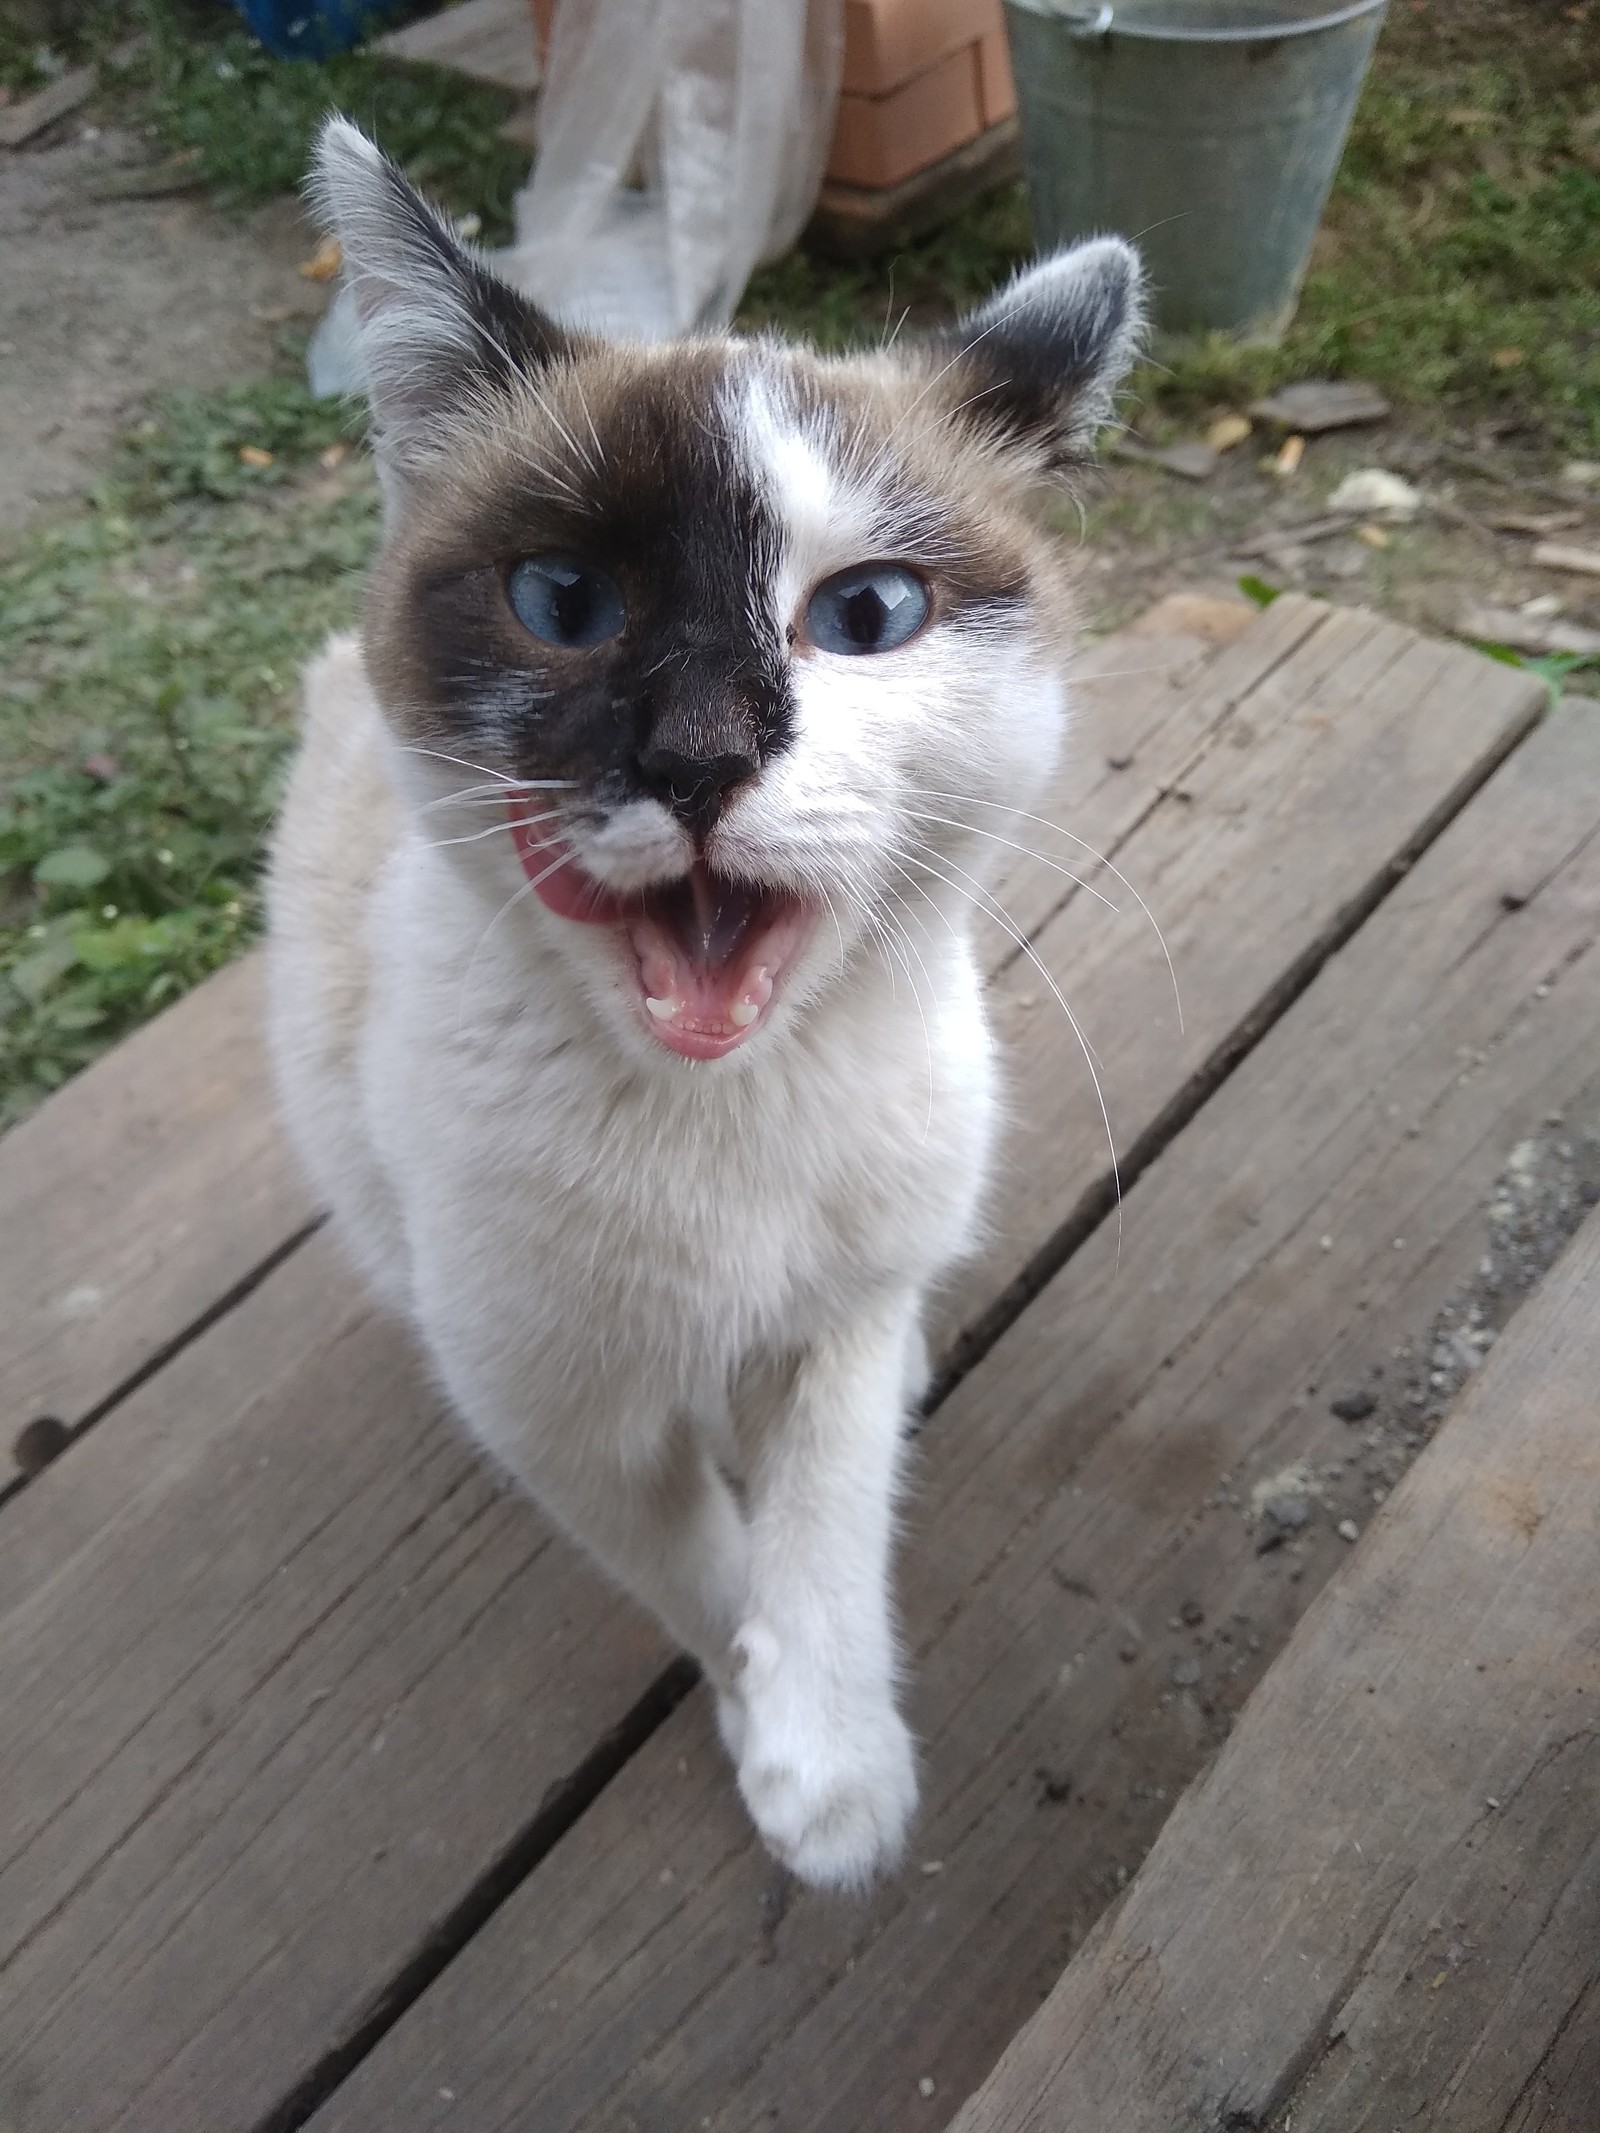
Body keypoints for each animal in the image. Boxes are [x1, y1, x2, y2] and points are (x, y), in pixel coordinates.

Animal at [269, 112, 1143, 1885]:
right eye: (562, 603)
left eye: (869, 614)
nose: (695, 755)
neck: (727, 1111)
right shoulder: (562, 1411)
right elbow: (701, 1566)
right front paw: (779, 1743)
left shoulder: (842, 1311)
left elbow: (826, 1513)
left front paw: (833, 1755)